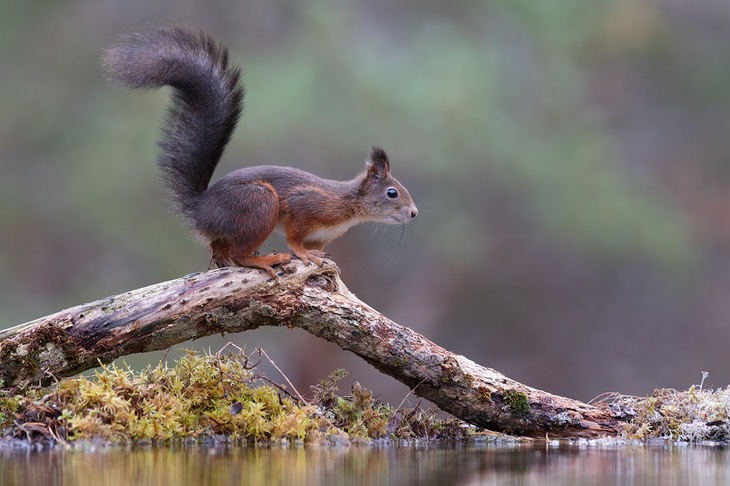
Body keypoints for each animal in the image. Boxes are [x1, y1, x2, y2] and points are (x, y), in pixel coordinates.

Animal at [101, 26, 416, 278]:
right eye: (392, 193)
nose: (414, 213)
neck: (349, 205)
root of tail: (202, 211)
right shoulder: (305, 206)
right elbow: (295, 238)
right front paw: (304, 254)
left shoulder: (321, 235)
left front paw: (321, 257)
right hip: (259, 204)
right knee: (239, 254)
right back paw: (265, 260)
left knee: (221, 249)